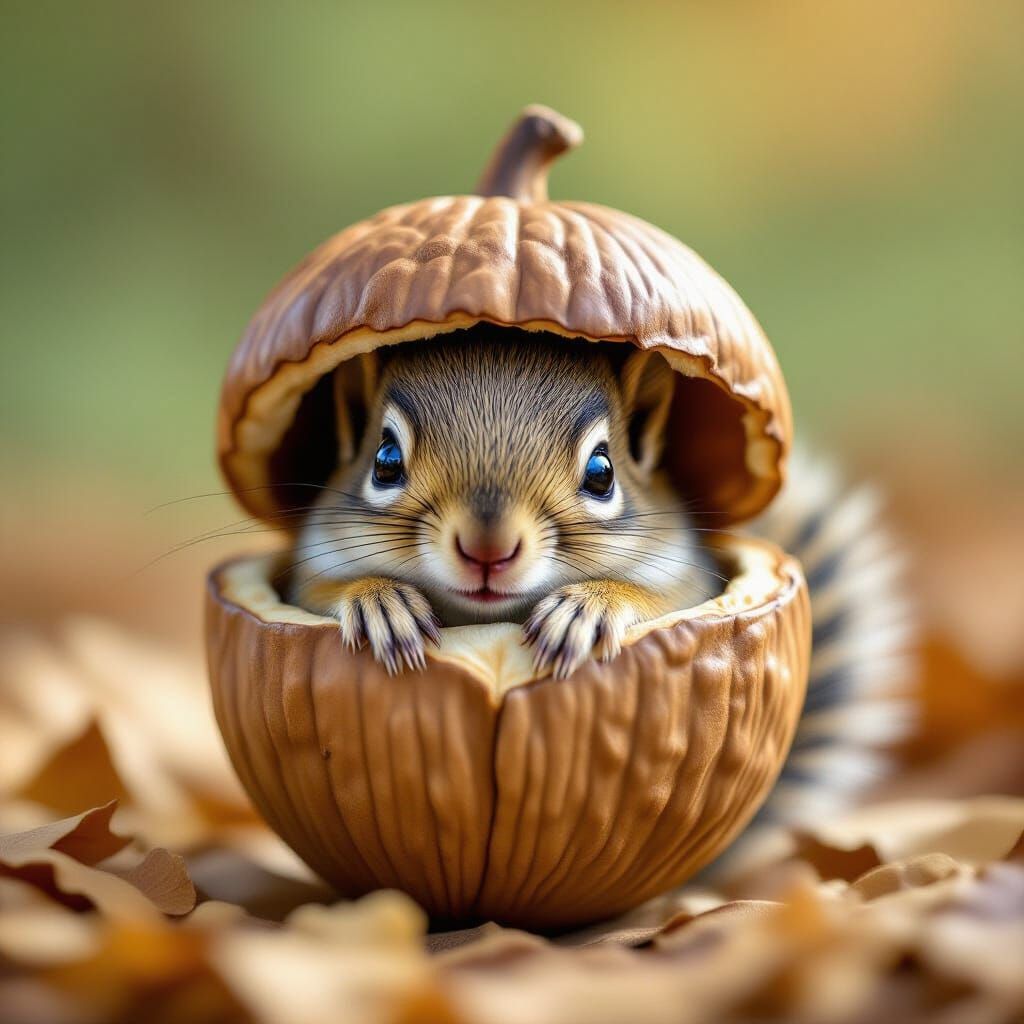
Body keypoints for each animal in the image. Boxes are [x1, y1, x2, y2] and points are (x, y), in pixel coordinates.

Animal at [287, 327, 912, 820]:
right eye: (385, 461)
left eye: (602, 472)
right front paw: (381, 602)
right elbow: (318, 590)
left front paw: (586, 609)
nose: (488, 548)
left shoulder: (684, 575)